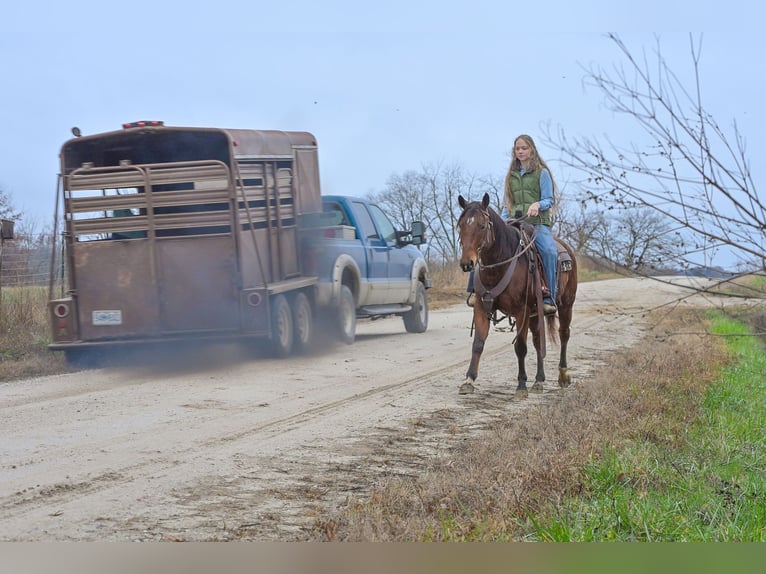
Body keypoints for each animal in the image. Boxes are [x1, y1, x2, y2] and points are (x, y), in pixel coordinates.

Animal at [456, 193, 578, 398]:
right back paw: (539, 380)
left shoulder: (522, 310)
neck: (500, 264)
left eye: (482, 226)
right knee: (538, 341)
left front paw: (521, 385)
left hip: (566, 305)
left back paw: (563, 375)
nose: (467, 263)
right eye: (461, 226)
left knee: (564, 334)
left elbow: (520, 347)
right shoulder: (481, 307)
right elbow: (478, 343)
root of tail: (566, 248)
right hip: (536, 313)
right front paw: (469, 380)